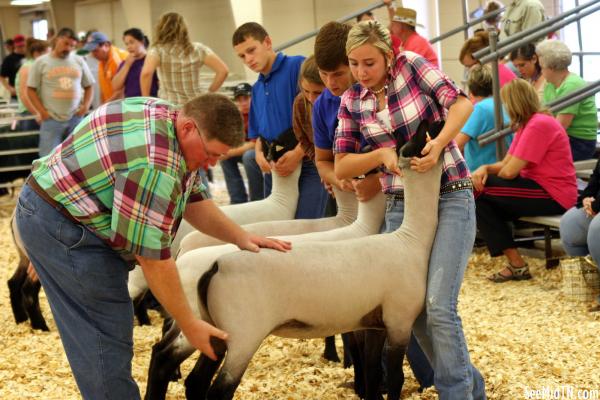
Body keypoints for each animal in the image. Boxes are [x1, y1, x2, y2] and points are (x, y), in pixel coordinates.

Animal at [142, 122, 440, 400]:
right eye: (421, 139)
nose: (433, 121)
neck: (410, 240)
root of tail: (215, 267)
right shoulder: (399, 320)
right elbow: (396, 377)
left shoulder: (372, 321)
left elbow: (372, 371)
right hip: (242, 335)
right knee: (217, 389)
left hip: (208, 329)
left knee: (175, 366)